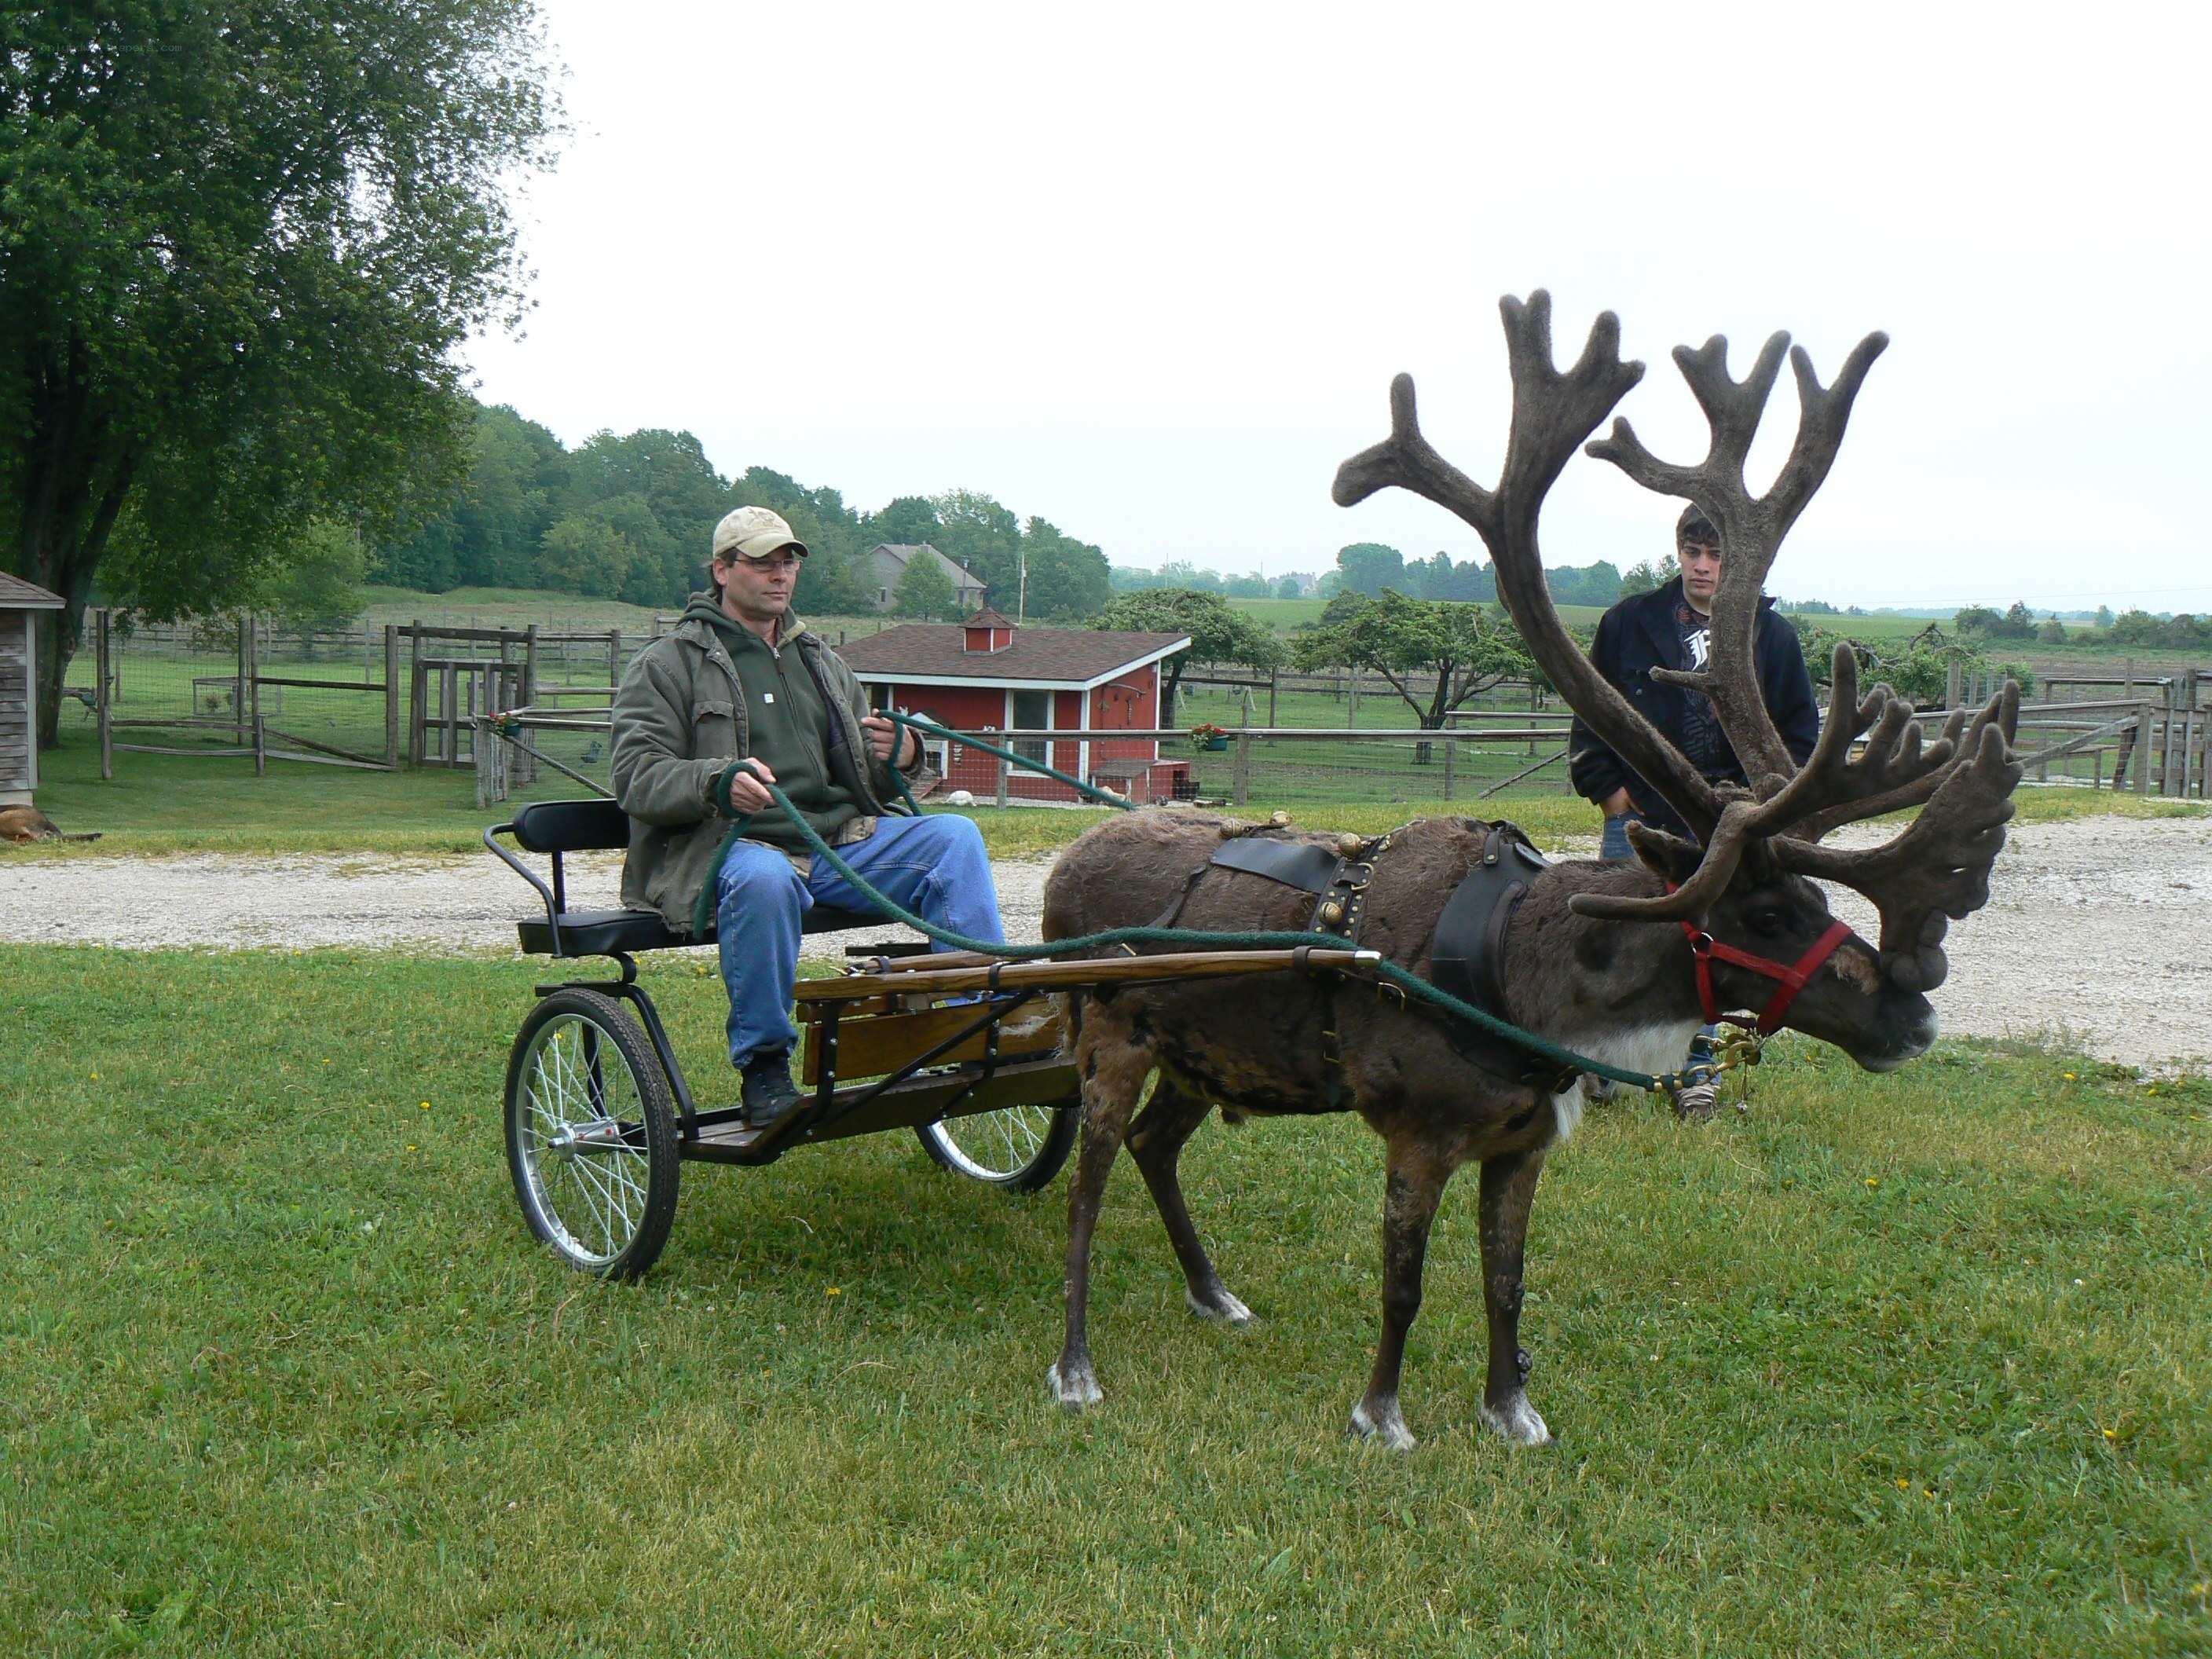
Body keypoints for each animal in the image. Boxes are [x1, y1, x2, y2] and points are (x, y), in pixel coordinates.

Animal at [1036, 292, 2022, 1450]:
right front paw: (1380, 1415)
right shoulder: (1419, 1130)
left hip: (1205, 1054)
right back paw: (1075, 1364)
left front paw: (1512, 1407)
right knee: (1087, 1186)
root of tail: (1059, 871)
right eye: (1765, 912)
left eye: (1817, 897)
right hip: (1109, 1035)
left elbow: (1506, 1282)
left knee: (1157, 1149)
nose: (1912, 1016)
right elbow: (1405, 1281)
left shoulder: (1522, 1143)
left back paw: (1213, 1292)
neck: (1528, 980)